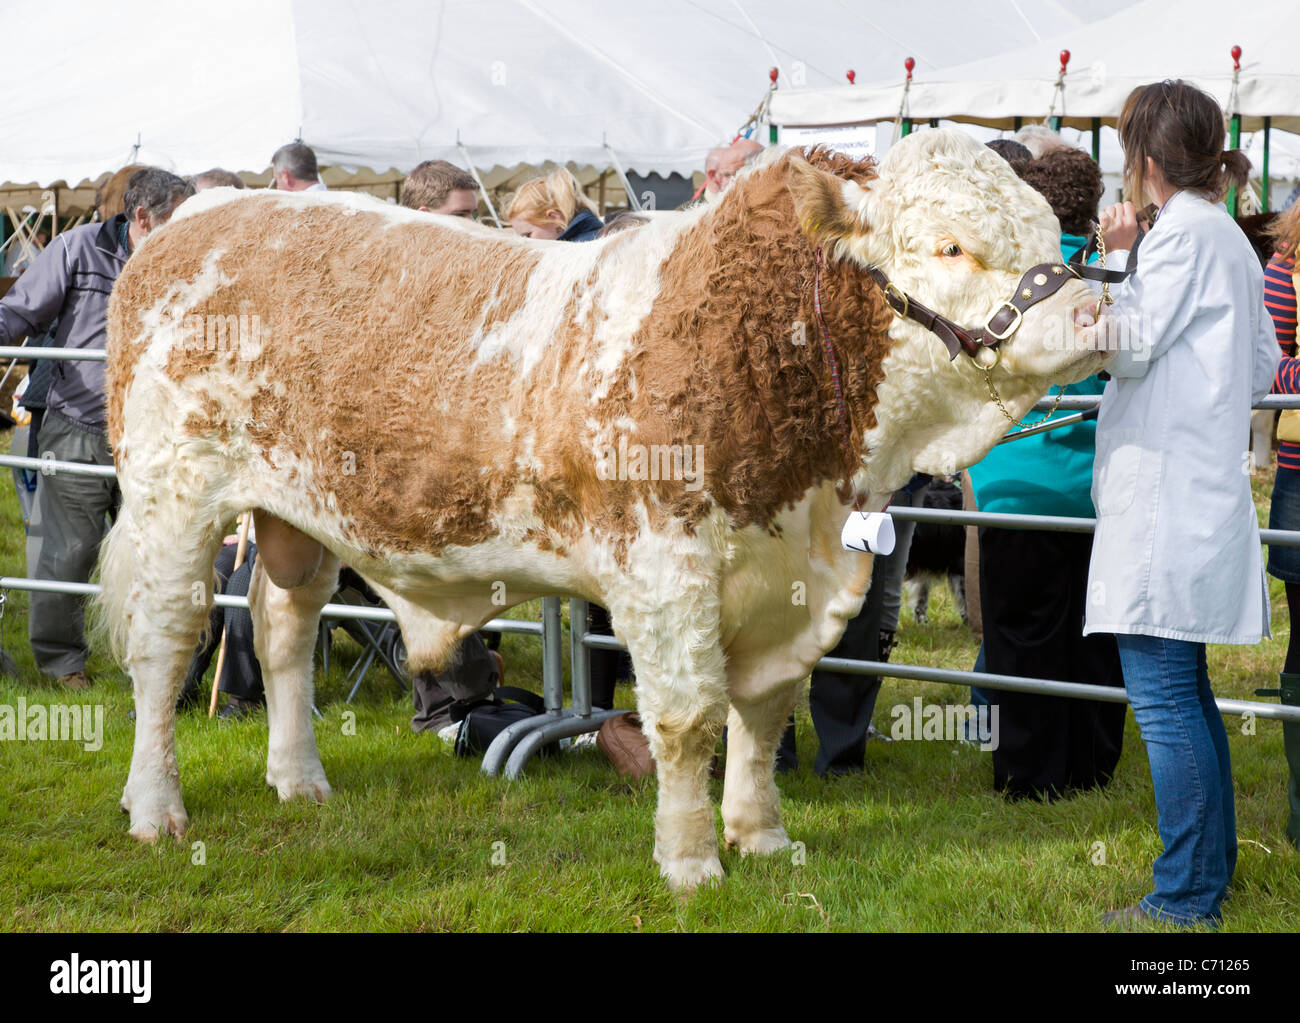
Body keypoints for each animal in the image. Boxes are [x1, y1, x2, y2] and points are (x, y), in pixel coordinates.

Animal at [96, 131, 1102, 894]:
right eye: (951, 246)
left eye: (1054, 229)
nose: (1096, 309)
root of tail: (198, 217)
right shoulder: (666, 566)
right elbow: (691, 717)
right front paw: (693, 863)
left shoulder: (786, 581)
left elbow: (765, 711)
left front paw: (761, 836)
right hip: (173, 498)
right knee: (164, 647)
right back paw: (155, 806)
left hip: (297, 518)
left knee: (283, 628)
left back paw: (300, 779)